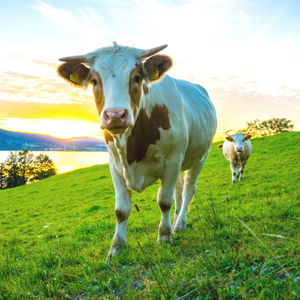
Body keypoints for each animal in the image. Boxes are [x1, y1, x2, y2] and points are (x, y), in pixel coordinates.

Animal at [57, 42, 217, 260]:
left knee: (187, 190)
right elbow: (121, 210)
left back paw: (180, 224)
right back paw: (175, 221)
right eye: (94, 80)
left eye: (137, 78)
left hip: (201, 155)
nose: (115, 115)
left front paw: (164, 237)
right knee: (178, 190)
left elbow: (163, 201)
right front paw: (116, 248)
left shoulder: (173, 160)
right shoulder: (114, 165)